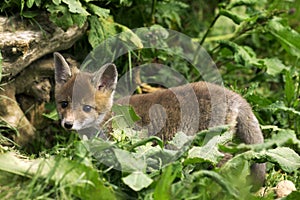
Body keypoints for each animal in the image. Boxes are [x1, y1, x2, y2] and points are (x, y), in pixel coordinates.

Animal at [53, 52, 264, 188]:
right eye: (64, 104)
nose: (68, 124)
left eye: (87, 108)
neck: (108, 118)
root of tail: (233, 94)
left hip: (210, 147)